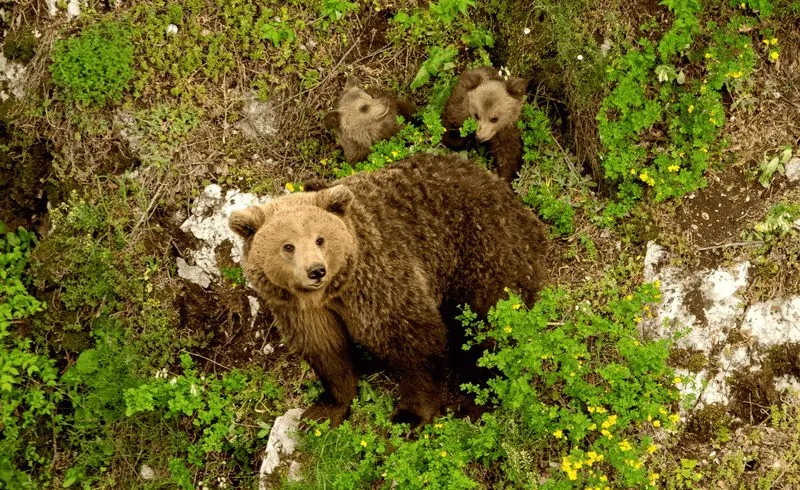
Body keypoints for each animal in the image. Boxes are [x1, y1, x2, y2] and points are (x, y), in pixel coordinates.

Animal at [228, 155, 548, 426]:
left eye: (320, 238)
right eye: (288, 246)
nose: (316, 270)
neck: (334, 292)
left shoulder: (378, 277)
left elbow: (411, 337)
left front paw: (410, 415)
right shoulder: (301, 308)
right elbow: (326, 350)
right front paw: (324, 410)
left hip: (483, 251)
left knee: (487, 327)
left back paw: (475, 400)